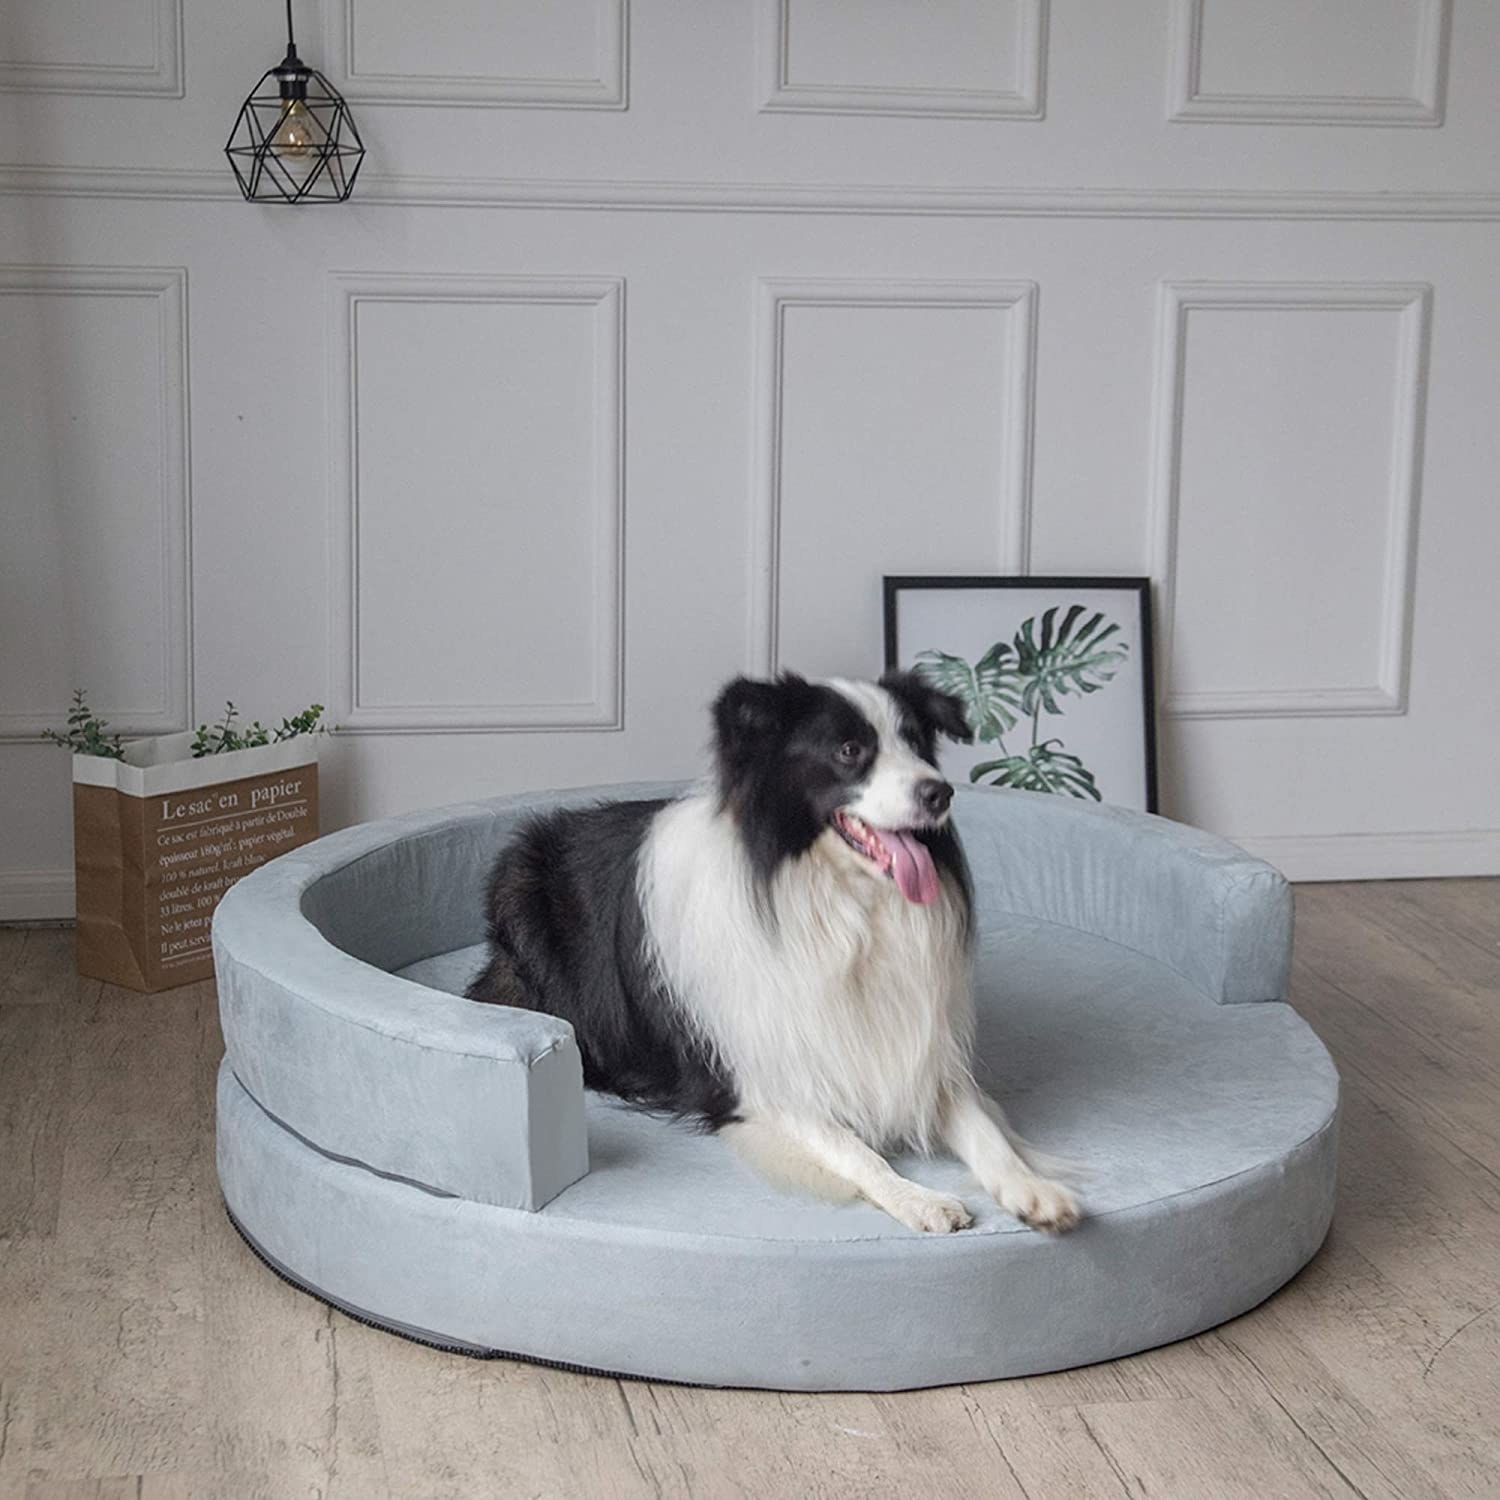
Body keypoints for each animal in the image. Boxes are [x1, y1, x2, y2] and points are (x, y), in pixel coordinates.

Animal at [468, 675, 1080, 1236]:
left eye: (916, 743)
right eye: (849, 750)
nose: (940, 793)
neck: (842, 903)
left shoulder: (920, 1054)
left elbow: (983, 1128)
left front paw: (1032, 1188)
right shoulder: (759, 1080)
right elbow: (853, 1147)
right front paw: (920, 1199)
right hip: (519, 891)